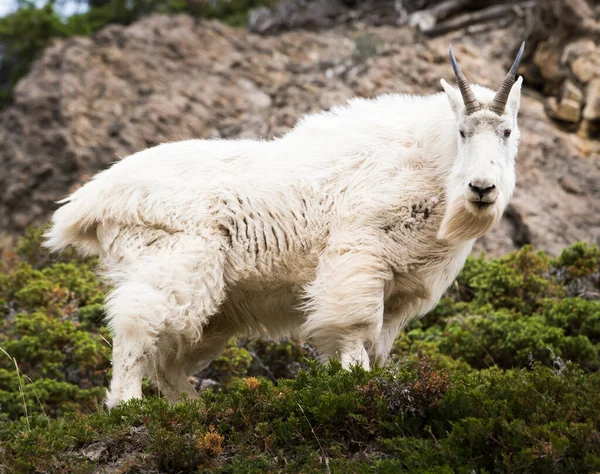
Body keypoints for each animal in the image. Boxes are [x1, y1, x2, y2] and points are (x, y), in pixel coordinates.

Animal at [45, 42, 524, 408]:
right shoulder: (358, 259)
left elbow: (377, 347)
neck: (428, 165)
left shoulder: (400, 291)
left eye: (507, 132)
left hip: (216, 309)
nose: (482, 188)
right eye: (463, 131)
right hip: (172, 265)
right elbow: (353, 332)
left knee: (169, 361)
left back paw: (192, 411)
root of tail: (91, 200)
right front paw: (355, 386)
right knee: (137, 327)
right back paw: (127, 406)